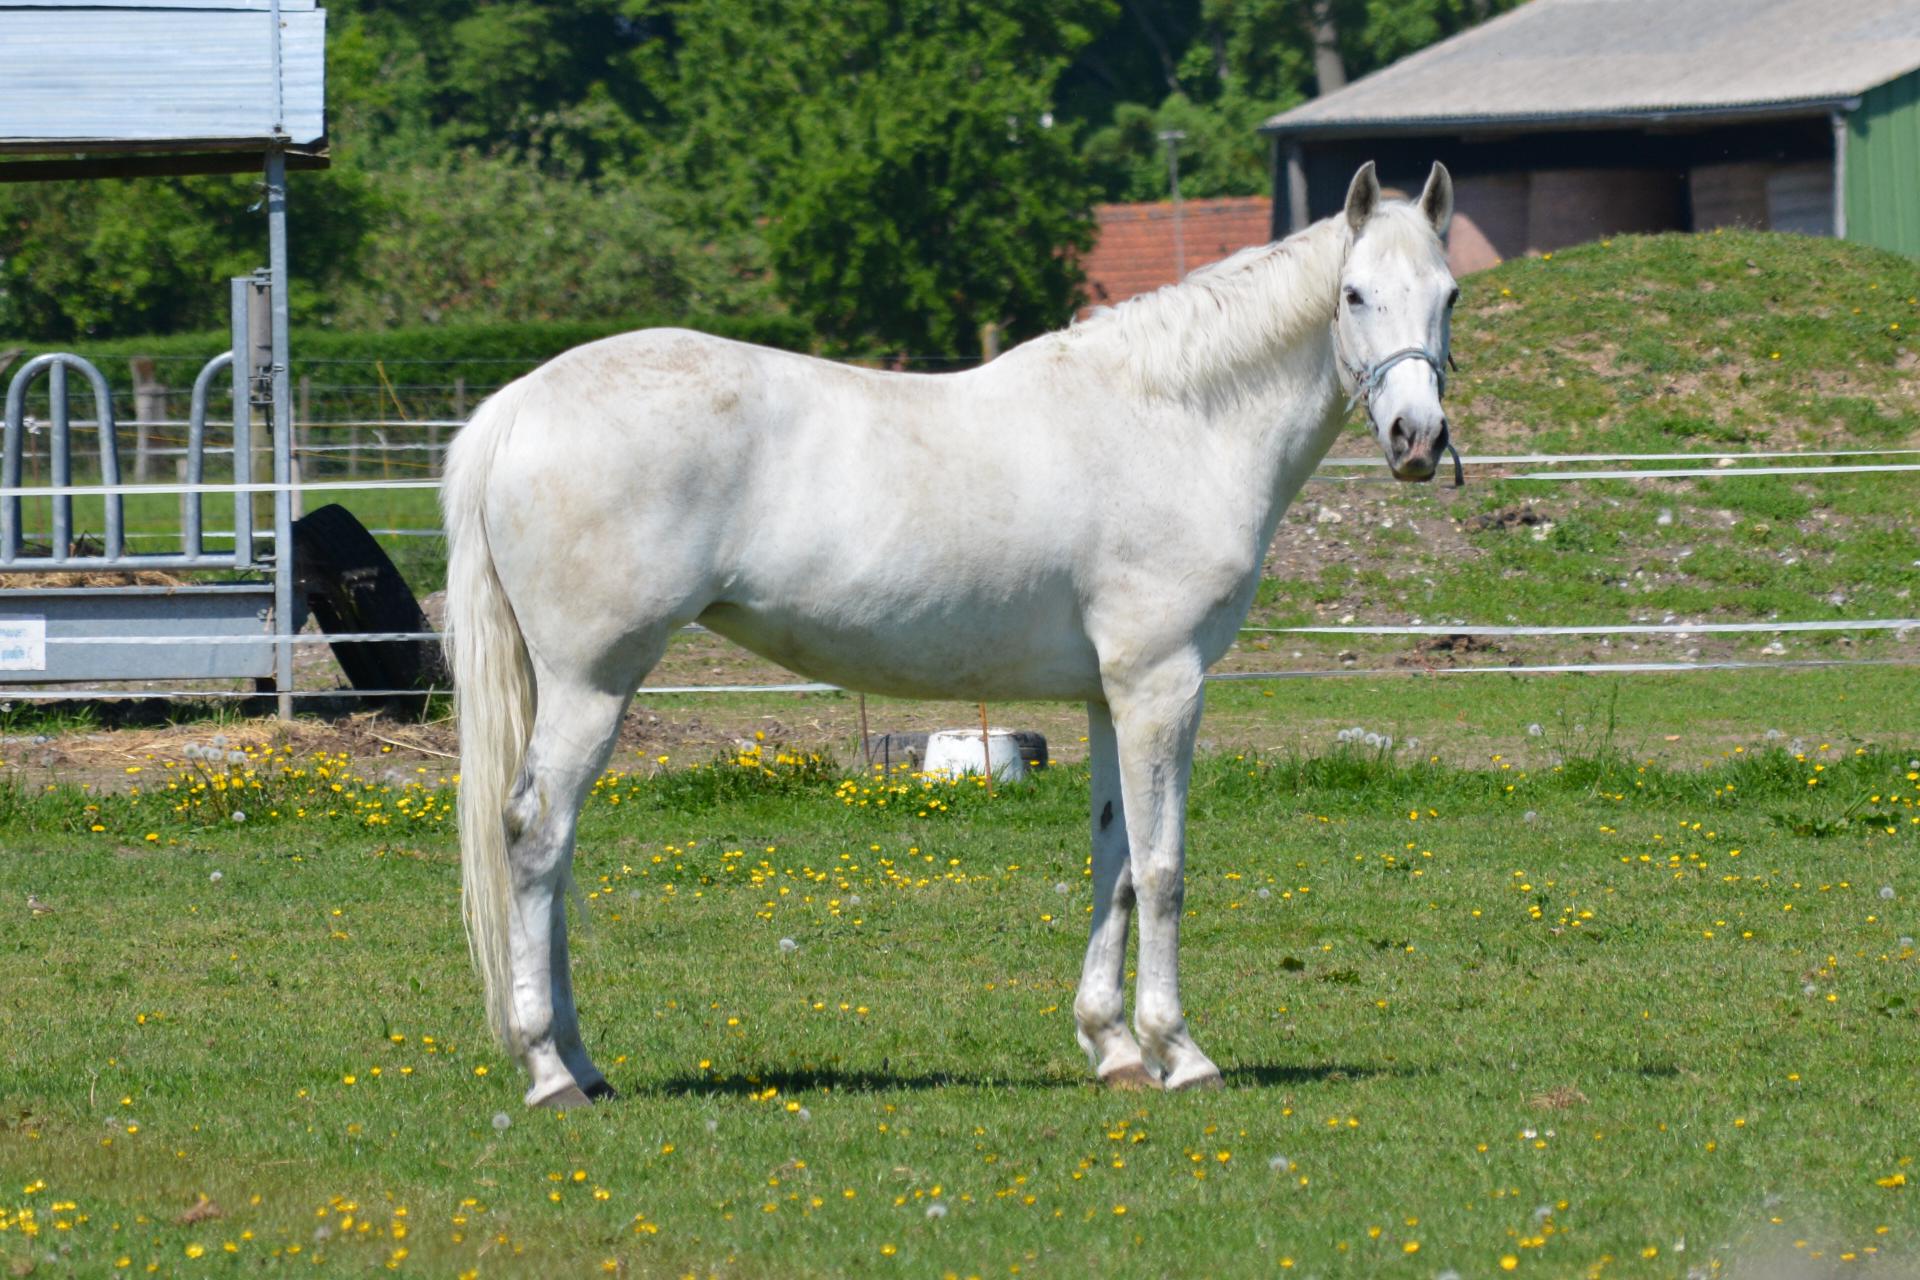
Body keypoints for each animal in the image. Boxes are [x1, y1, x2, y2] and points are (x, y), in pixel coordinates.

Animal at [439, 157, 1451, 1105]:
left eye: (1448, 295)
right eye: (1354, 294)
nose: (1418, 439)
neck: (1172, 420)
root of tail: (519, 404)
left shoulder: (1109, 697)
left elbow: (1116, 861)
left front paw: (1114, 1048)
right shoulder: (1163, 684)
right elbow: (1164, 868)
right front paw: (1181, 1052)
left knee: (554, 851)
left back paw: (583, 1065)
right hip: (591, 683)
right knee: (535, 836)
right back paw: (550, 1071)